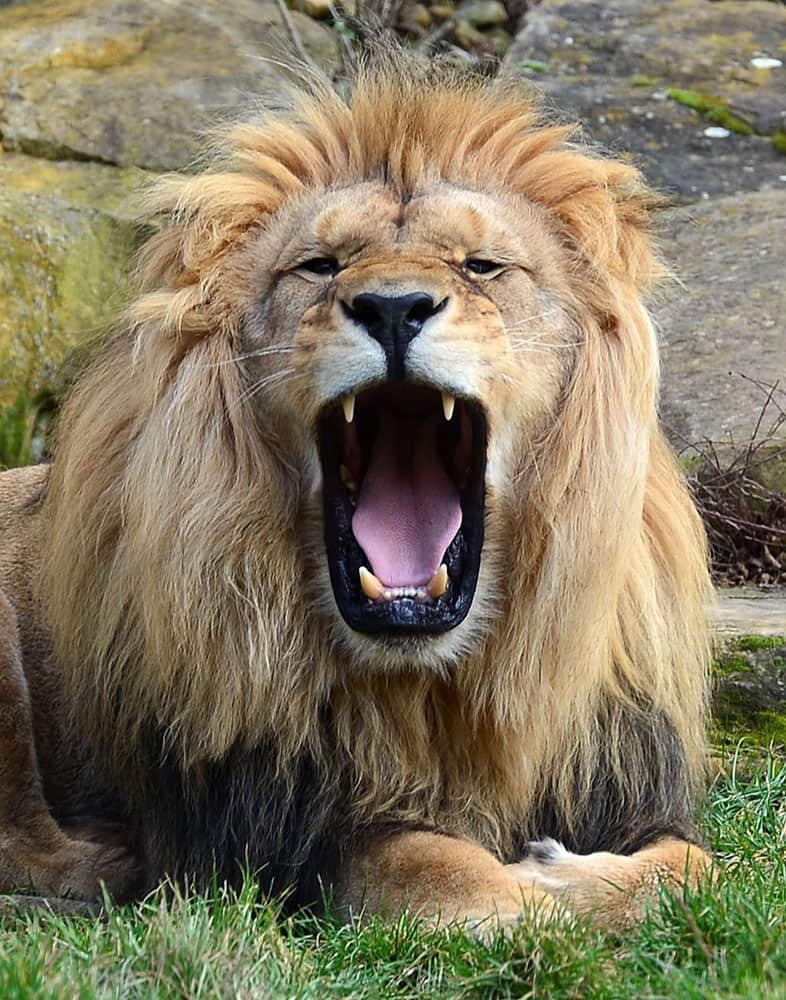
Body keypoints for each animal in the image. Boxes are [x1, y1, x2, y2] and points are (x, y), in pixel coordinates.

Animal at [0, 52, 712, 928]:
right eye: (321, 266)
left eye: (482, 265)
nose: (394, 306)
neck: (427, 680)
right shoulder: (280, 834)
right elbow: (442, 869)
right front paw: (540, 888)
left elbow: (697, 869)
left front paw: (575, 873)